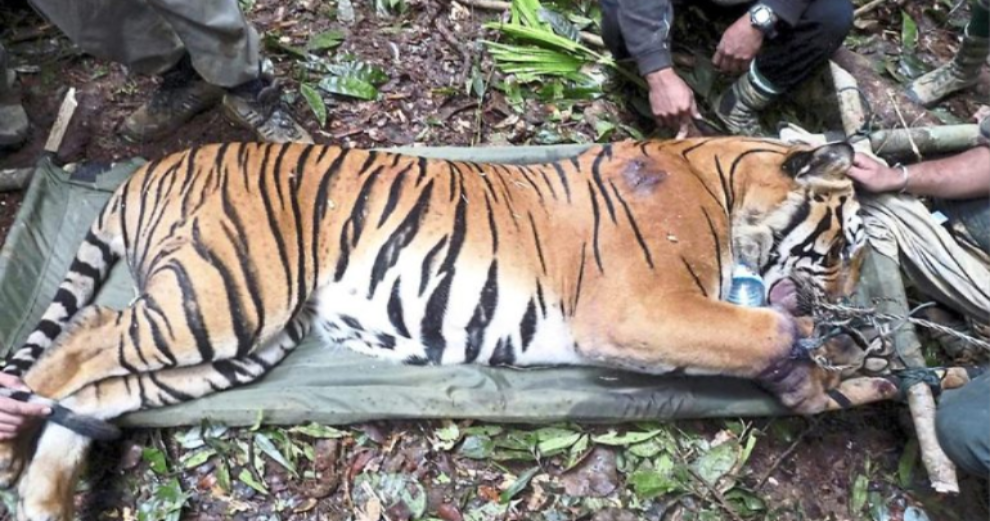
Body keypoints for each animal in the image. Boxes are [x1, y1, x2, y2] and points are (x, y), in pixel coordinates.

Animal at [0, 137, 882, 521]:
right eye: (843, 248)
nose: (848, 298)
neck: (724, 184)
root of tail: (146, 165)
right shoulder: (642, 308)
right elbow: (765, 332)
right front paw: (810, 361)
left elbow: (786, 348)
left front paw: (849, 375)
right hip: (219, 299)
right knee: (83, 335)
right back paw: (12, 445)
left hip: (241, 343)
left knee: (100, 388)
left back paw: (43, 497)